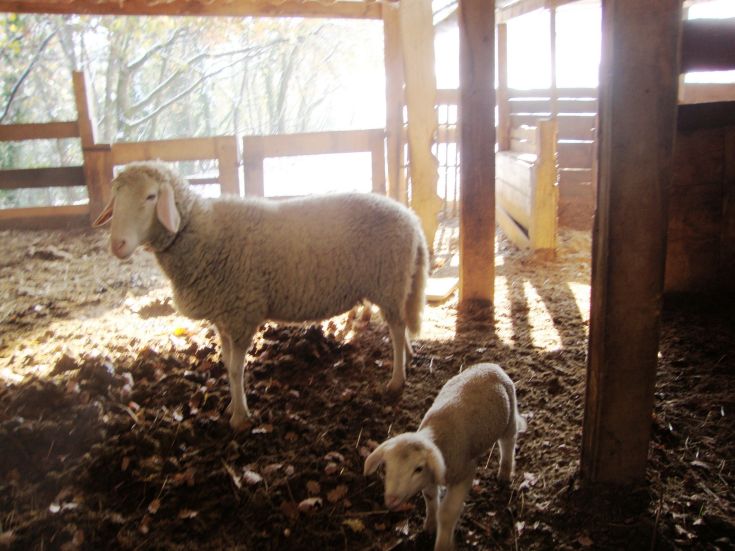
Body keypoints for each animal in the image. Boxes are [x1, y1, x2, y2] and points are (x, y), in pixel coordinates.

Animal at [93, 161, 428, 431]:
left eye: (151, 197)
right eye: (115, 197)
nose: (118, 245)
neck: (201, 232)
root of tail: (412, 219)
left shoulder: (241, 312)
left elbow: (234, 368)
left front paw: (240, 418)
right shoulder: (223, 316)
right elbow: (226, 362)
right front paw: (233, 404)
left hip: (389, 281)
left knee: (396, 328)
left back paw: (396, 380)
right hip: (395, 285)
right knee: (400, 325)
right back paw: (408, 358)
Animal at [364, 363, 526, 551]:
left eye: (418, 468)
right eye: (387, 467)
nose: (391, 500)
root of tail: (490, 365)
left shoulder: (464, 473)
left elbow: (447, 512)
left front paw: (443, 543)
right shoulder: (430, 477)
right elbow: (430, 499)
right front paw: (430, 525)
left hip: (509, 418)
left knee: (508, 444)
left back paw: (505, 473)